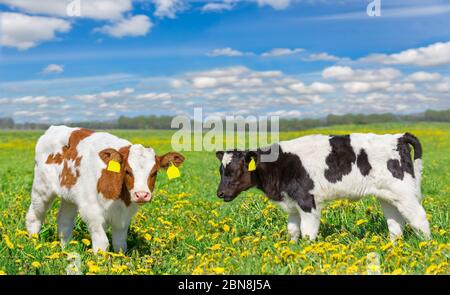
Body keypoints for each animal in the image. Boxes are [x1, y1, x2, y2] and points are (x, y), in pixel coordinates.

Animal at [25, 126, 185, 253]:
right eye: (127, 171)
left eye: (154, 172)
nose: (141, 195)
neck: (120, 197)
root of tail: (53, 128)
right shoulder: (92, 211)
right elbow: (102, 243)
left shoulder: (124, 216)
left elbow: (120, 243)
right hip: (41, 188)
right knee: (34, 217)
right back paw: (34, 245)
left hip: (69, 195)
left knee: (64, 222)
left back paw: (66, 250)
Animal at [216, 133, 430, 242]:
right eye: (221, 170)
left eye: (234, 170)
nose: (220, 193)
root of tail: (397, 137)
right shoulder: (292, 203)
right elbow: (293, 231)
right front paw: (293, 250)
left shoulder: (307, 201)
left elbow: (308, 232)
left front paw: (307, 253)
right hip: (387, 195)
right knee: (395, 223)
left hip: (404, 192)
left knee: (419, 218)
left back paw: (426, 245)